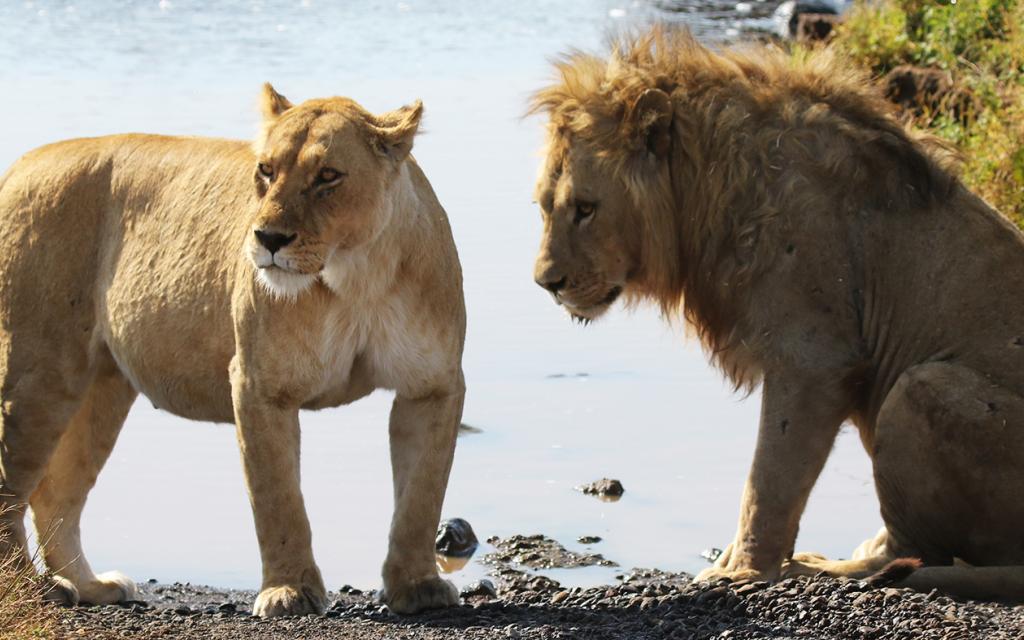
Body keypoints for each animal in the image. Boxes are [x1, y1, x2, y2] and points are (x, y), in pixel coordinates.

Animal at [0, 83, 464, 614]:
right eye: (266, 170)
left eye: (328, 175)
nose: (268, 238)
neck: (356, 275)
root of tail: (21, 164)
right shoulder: (259, 385)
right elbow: (278, 499)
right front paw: (289, 591)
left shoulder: (432, 387)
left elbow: (421, 497)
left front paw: (418, 586)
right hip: (37, 372)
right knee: (12, 488)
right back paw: (32, 587)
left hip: (103, 384)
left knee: (56, 492)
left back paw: (90, 585)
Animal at [528, 28, 1024, 598]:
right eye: (543, 206)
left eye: (585, 209)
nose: (546, 283)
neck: (707, 183)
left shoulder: (814, 359)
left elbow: (769, 481)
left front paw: (740, 570)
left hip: (919, 386)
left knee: (912, 553)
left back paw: (823, 568)